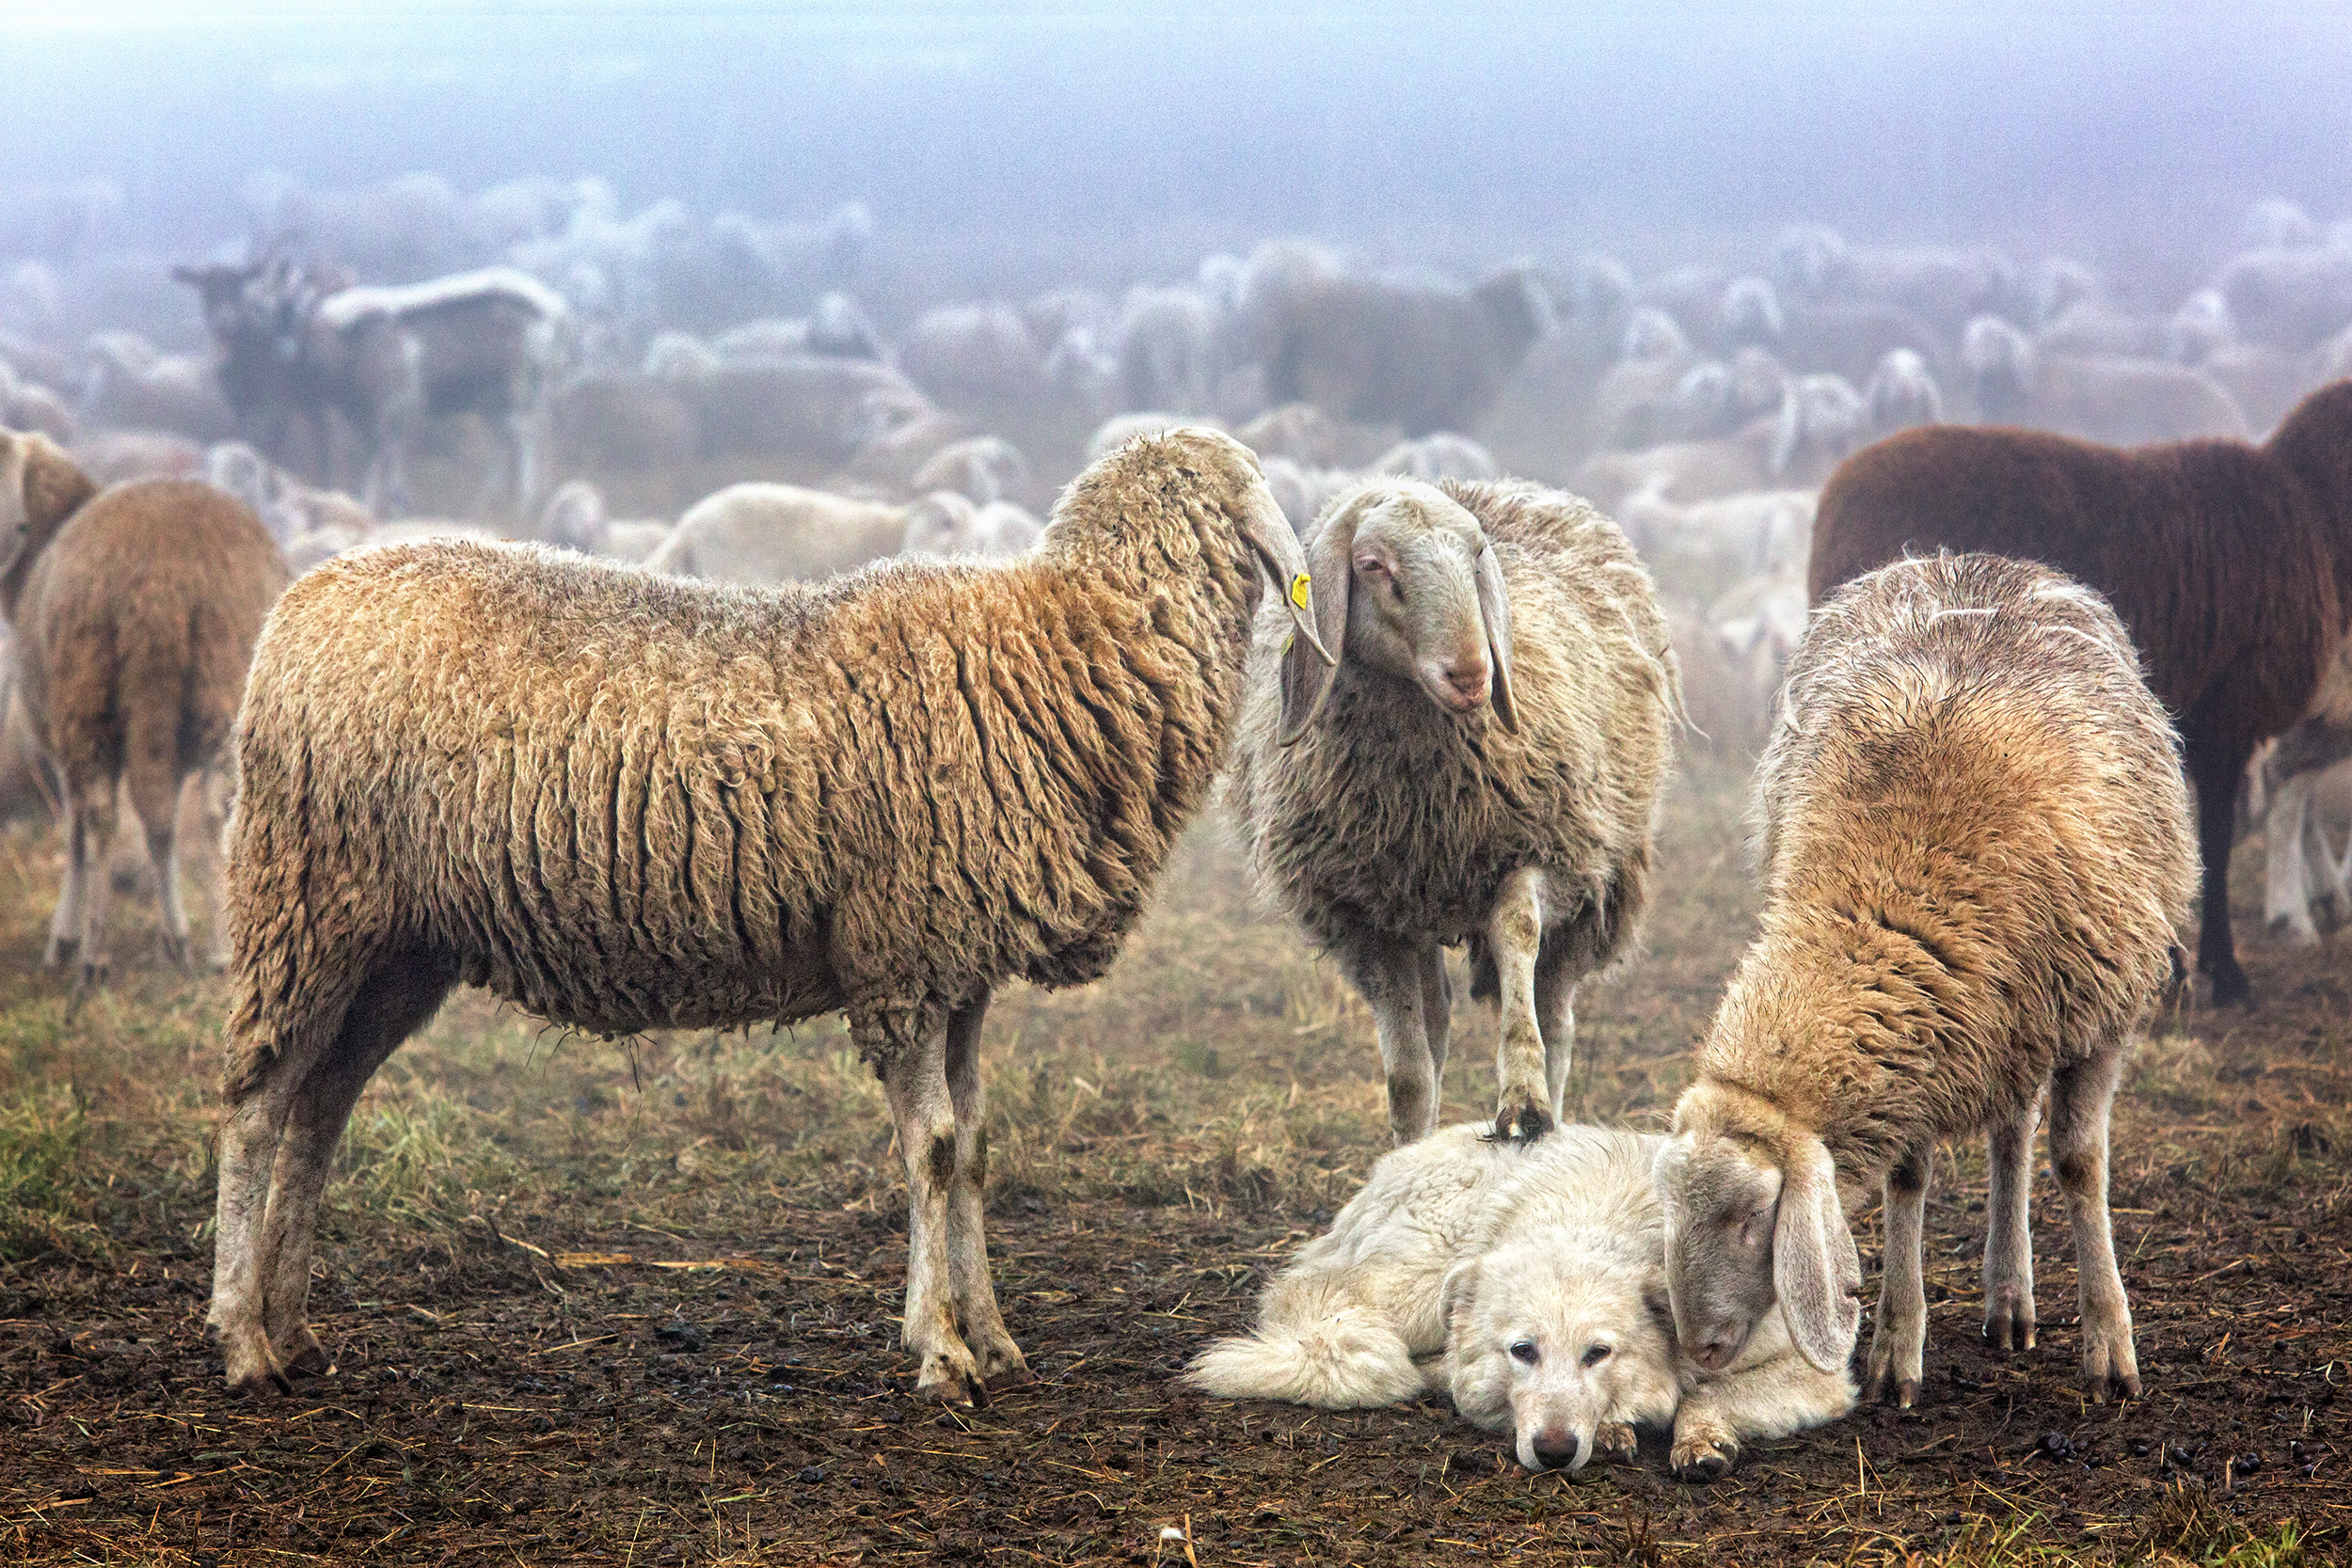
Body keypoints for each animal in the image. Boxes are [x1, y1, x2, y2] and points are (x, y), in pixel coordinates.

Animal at [0, 434, 289, 995]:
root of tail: (163, 581)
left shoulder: (59, 743)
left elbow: (77, 834)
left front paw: (62, 941)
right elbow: (163, 830)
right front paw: (171, 938)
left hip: (85, 699)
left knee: (101, 818)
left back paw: (94, 956)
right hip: (220, 685)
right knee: (209, 813)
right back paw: (218, 950)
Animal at [1228, 478, 1678, 1144]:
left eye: (1476, 555)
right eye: (1372, 565)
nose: (1472, 674)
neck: (1429, 801)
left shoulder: (1537, 845)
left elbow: (1516, 935)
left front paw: (1523, 1098)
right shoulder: (1368, 914)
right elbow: (1410, 1073)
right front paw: (1411, 1139)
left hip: (1598, 886)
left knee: (1556, 1014)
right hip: (1414, 909)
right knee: (1436, 1018)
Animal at [1262, 263, 1553, 437]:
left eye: (1550, 287)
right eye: (1521, 291)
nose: (1546, 320)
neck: (1490, 324)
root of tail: (1295, 311)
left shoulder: (1423, 418)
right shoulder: (1466, 411)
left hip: (1279, 384)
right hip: (1329, 387)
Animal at [1657, 553, 2194, 1410]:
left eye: (1751, 1219)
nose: (1699, 1351)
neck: (1893, 890)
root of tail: (1976, 556)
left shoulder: (2100, 1014)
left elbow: (2080, 1165)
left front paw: (2110, 1342)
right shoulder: (1929, 1039)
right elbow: (1909, 1177)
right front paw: (1895, 1345)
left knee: (2019, 1137)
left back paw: (2015, 1294)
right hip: (2002, 1022)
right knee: (2010, 1129)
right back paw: (2007, 1295)